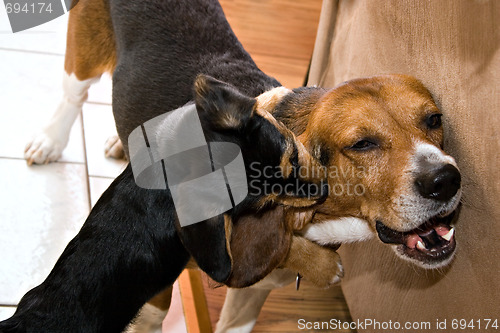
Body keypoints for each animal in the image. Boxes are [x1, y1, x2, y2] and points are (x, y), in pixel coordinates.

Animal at [2, 0, 460, 330]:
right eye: (362, 144)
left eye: (435, 120)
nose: (446, 181)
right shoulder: (156, 285)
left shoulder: (253, 293)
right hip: (84, 50)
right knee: (72, 95)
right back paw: (49, 140)